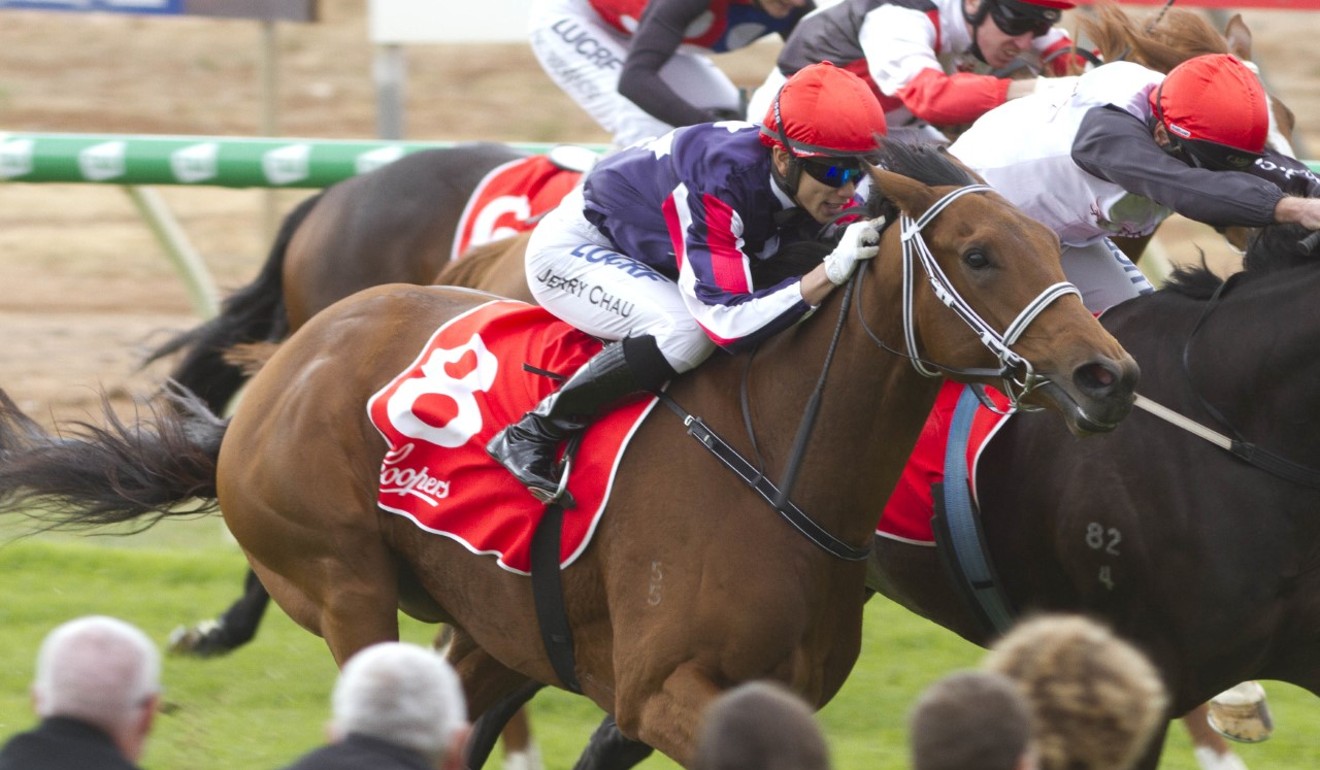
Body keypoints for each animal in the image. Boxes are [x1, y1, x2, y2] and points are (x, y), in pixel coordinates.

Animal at [0, 144, 1135, 766]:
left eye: (1051, 243)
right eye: (979, 255)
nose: (1107, 376)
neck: (778, 461)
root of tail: (282, 370)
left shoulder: (713, 697)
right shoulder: (666, 689)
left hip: (493, 631)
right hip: (341, 584)